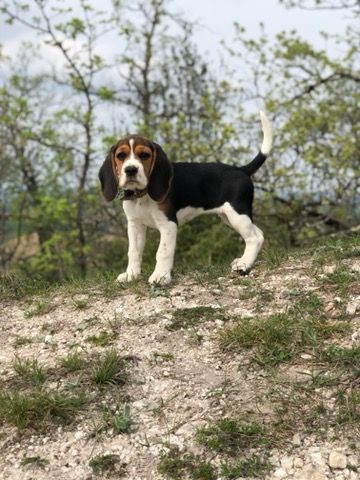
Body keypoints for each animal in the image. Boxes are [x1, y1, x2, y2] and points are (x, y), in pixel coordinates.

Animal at [98, 111, 272, 284]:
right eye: (121, 156)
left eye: (144, 155)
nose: (130, 170)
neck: (142, 195)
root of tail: (241, 170)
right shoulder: (135, 225)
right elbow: (134, 251)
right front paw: (131, 275)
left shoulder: (168, 224)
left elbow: (163, 252)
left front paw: (160, 276)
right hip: (229, 216)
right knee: (260, 234)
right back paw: (242, 260)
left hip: (237, 214)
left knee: (254, 238)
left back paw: (244, 264)